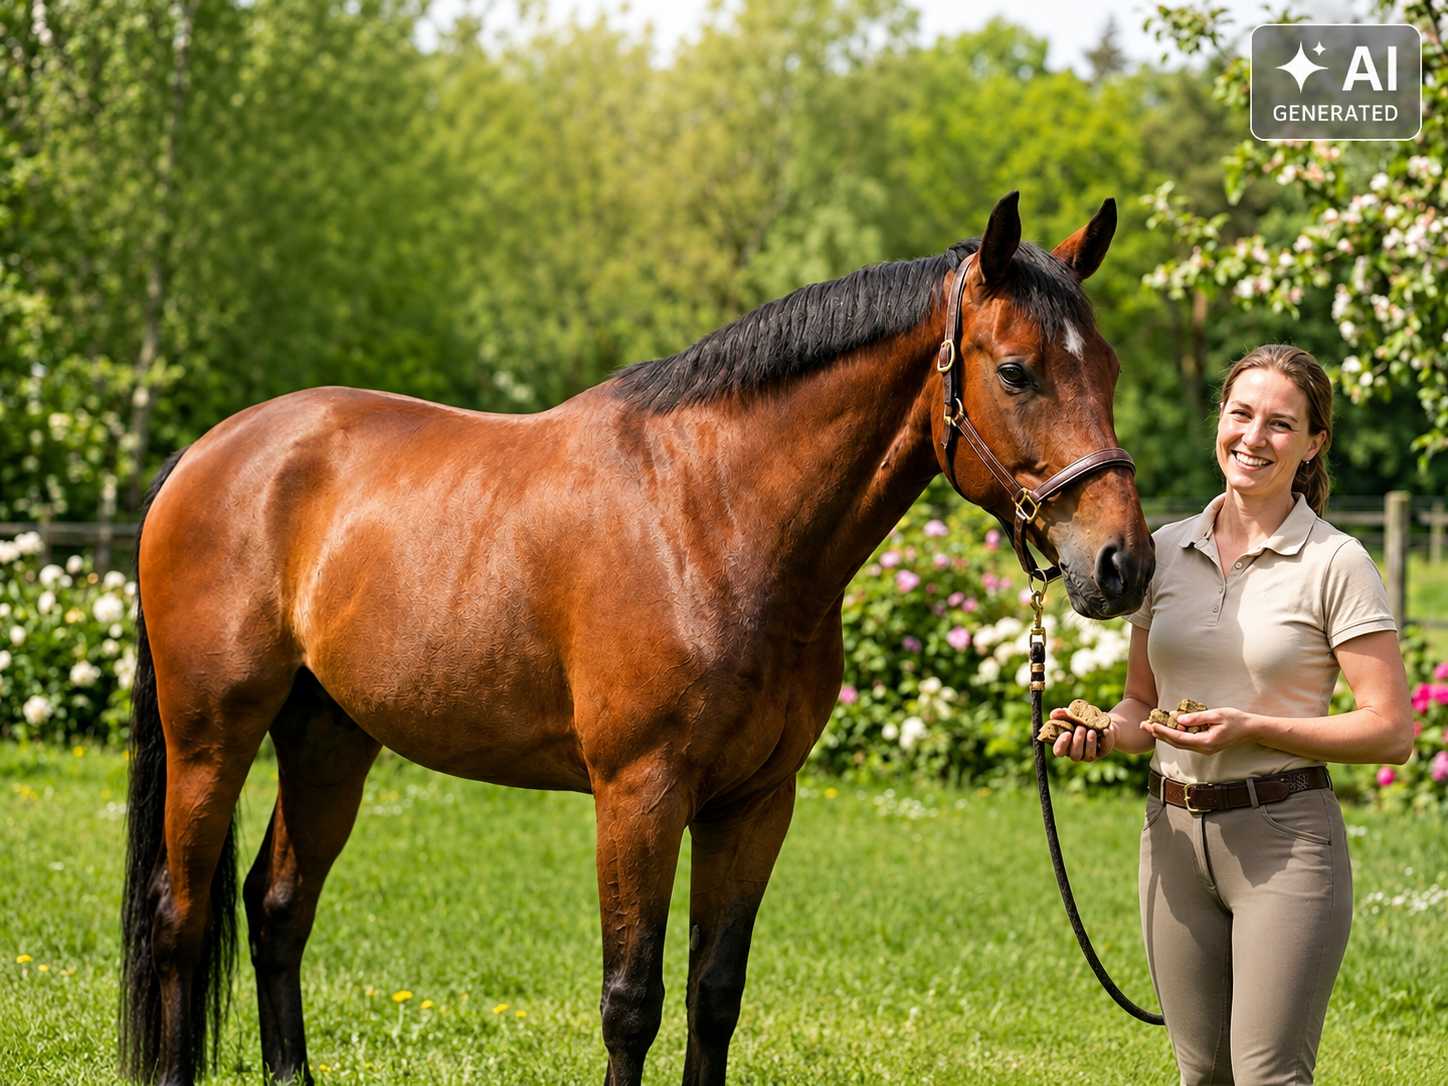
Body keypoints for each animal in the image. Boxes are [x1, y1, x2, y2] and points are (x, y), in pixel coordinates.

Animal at [119, 191, 1153, 1086]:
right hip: (211, 737)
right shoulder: (638, 796)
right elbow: (631, 1001)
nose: (1121, 564)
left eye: (1108, 368)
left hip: (329, 738)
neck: (710, 515)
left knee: (276, 909)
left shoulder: (755, 804)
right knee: (179, 917)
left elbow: (714, 994)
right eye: (1016, 370)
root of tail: (212, 452)